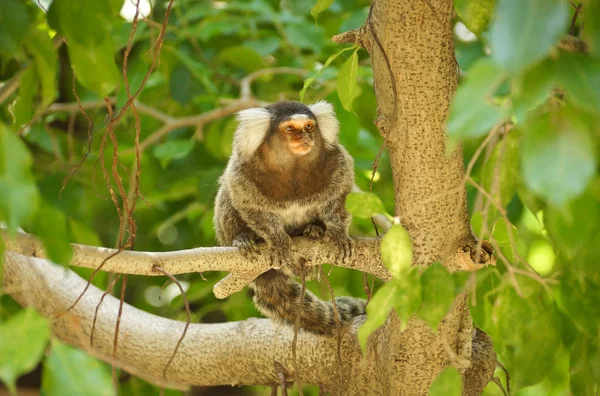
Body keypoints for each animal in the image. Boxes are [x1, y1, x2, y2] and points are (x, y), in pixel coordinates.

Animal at [216, 99, 366, 334]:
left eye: (309, 127)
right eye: (290, 128)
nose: (304, 137)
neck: (292, 167)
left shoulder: (337, 162)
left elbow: (341, 197)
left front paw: (337, 233)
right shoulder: (241, 171)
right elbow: (248, 205)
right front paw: (278, 241)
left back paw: (314, 232)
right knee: (225, 194)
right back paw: (243, 239)